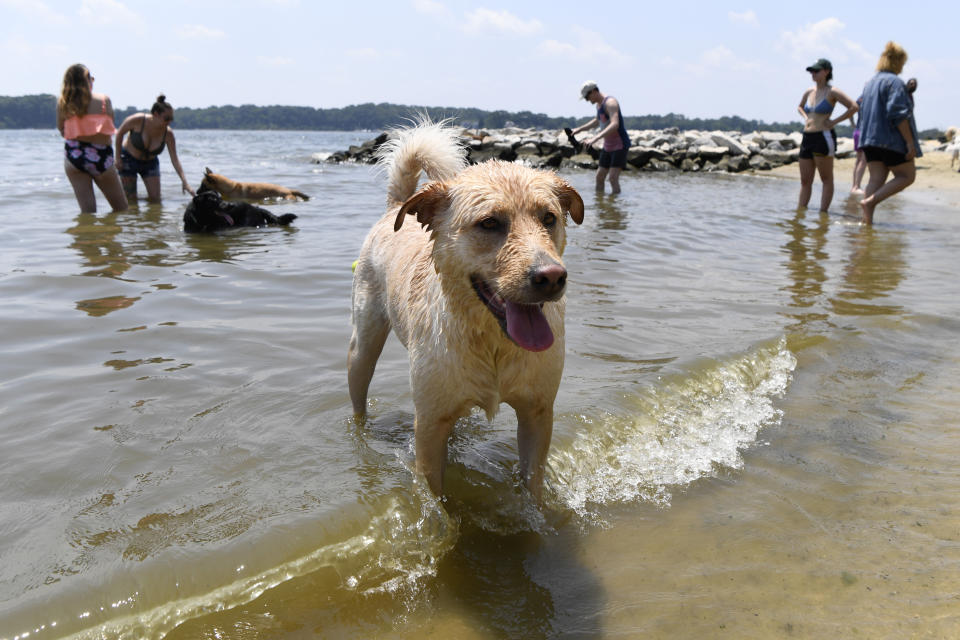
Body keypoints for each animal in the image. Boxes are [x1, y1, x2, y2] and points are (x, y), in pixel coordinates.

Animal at [346, 121, 584, 500]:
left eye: (549, 218)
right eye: (489, 223)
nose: (551, 277)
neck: (493, 344)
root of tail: (394, 208)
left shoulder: (537, 413)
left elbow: (532, 483)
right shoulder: (429, 425)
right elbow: (434, 499)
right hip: (364, 346)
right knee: (359, 396)